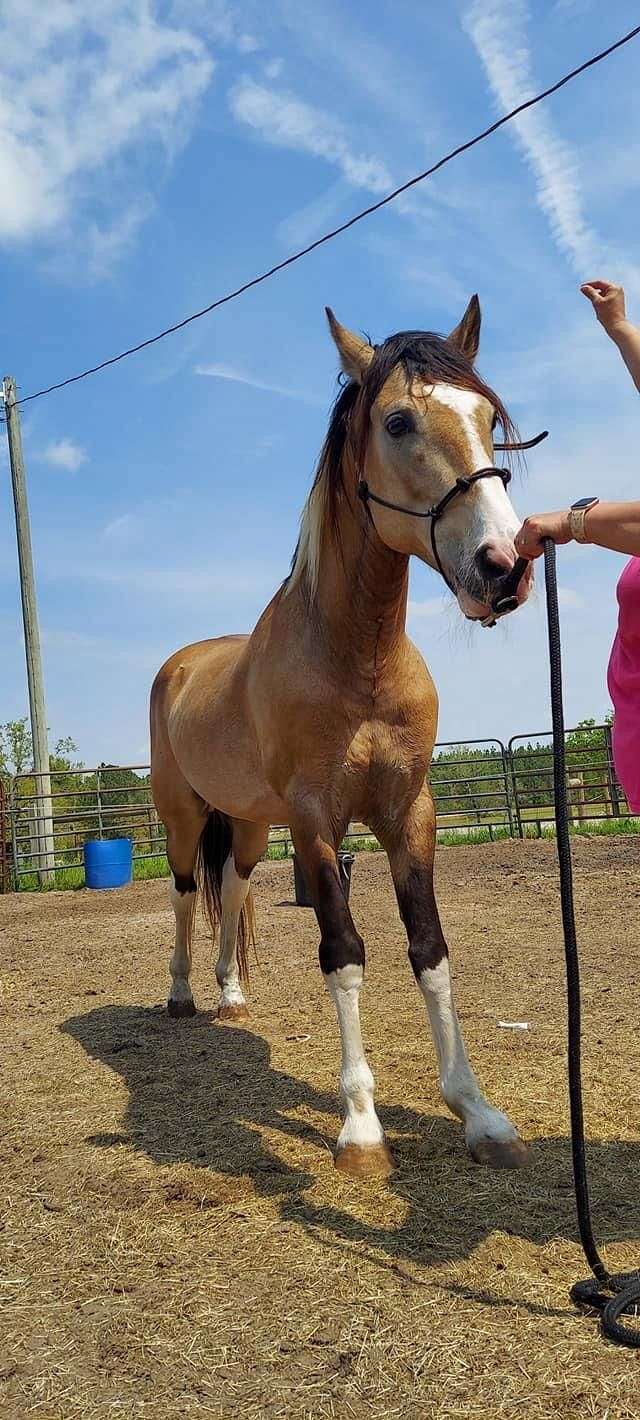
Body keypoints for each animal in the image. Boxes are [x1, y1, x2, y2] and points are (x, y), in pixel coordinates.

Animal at [150, 295, 534, 1179]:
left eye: (488, 417)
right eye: (397, 421)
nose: (504, 565)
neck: (357, 660)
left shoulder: (409, 812)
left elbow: (429, 949)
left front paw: (477, 1112)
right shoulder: (318, 822)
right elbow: (345, 951)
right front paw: (360, 1125)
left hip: (249, 828)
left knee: (234, 890)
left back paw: (230, 994)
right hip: (184, 819)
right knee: (186, 895)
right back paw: (184, 994)